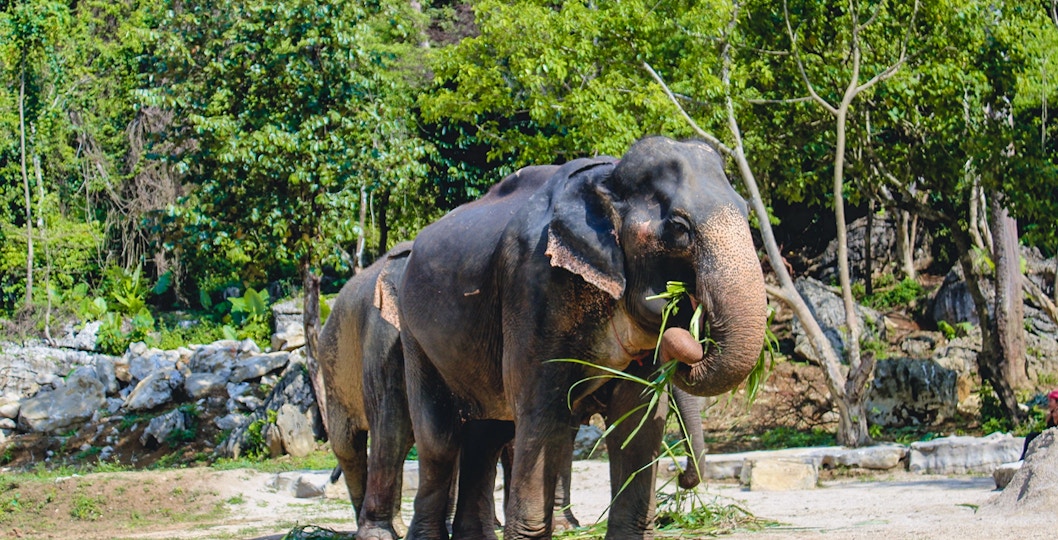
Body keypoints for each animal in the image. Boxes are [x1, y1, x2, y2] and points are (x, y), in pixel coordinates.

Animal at [319, 241, 707, 540]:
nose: (681, 478)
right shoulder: (382, 338)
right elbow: (393, 429)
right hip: (329, 371)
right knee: (352, 445)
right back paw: (378, 528)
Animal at [397, 136, 767, 539]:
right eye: (679, 227)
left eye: (746, 211)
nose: (685, 481)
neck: (607, 178)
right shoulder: (533, 286)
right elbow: (542, 413)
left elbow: (638, 418)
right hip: (413, 333)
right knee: (440, 440)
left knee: (486, 436)